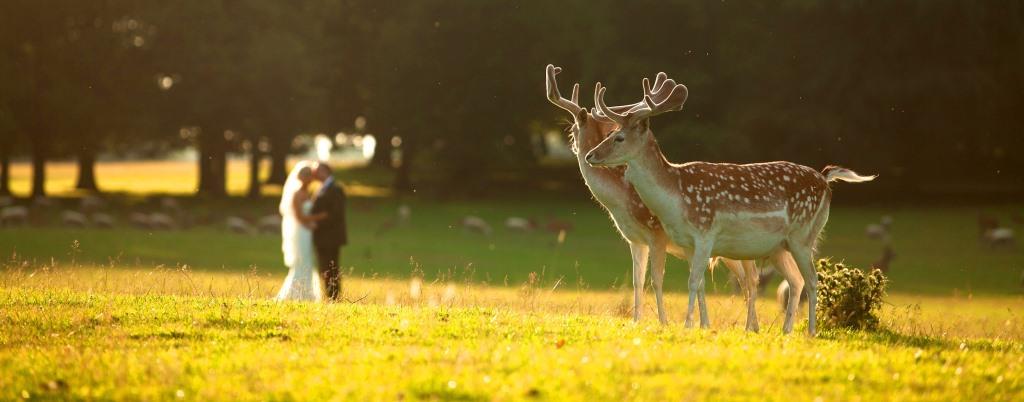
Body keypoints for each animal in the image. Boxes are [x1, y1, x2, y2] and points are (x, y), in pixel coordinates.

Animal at [544, 64, 798, 331]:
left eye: (572, 129)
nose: (587, 154)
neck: (622, 204)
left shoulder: (657, 235)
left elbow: (657, 280)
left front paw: (664, 321)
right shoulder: (635, 240)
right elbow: (638, 280)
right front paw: (637, 320)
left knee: (751, 279)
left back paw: (751, 326)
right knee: (749, 280)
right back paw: (752, 326)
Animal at [589, 78, 876, 335]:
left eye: (619, 137)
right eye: (610, 133)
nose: (591, 155)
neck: (676, 198)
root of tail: (825, 180)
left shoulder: (705, 233)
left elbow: (692, 282)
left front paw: (687, 326)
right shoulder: (687, 243)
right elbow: (699, 282)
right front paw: (699, 325)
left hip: (804, 235)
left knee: (812, 280)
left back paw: (811, 332)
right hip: (779, 246)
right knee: (795, 280)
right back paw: (786, 331)